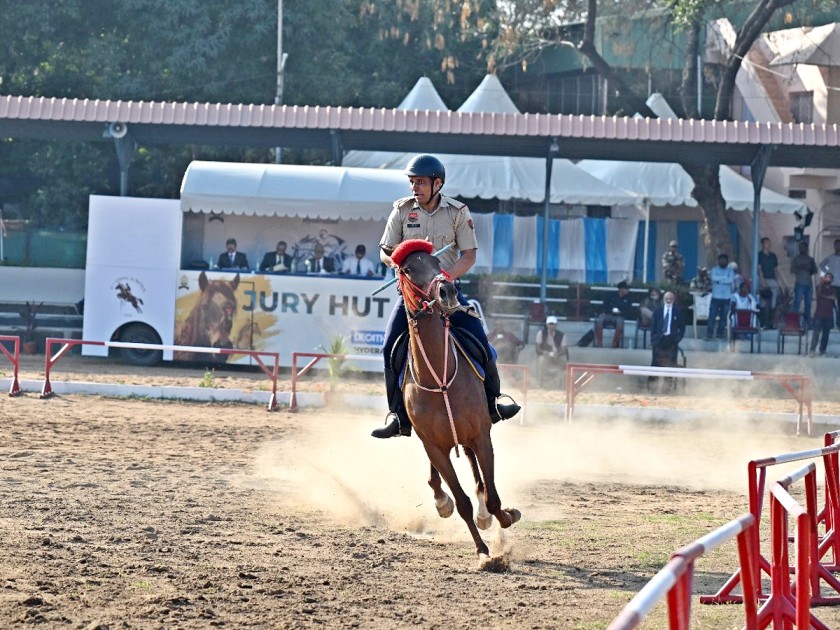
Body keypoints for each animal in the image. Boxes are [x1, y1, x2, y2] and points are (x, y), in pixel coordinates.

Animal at [392, 239, 520, 560]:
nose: (447, 291)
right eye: (407, 269)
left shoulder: (482, 435)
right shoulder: (434, 446)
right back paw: (442, 501)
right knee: (439, 477)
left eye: (438, 263)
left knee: (478, 475)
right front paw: (482, 551)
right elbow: (461, 501)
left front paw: (505, 516)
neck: (439, 376)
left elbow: (494, 498)